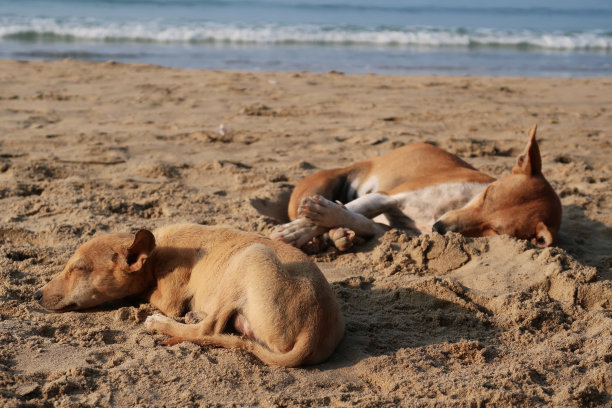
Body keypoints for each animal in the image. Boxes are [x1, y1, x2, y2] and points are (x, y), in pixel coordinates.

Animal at [34, 223, 344, 366]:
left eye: (80, 268)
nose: (36, 295)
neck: (156, 254)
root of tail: (314, 331)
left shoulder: (168, 299)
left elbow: (149, 296)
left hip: (250, 256)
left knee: (207, 330)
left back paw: (161, 324)